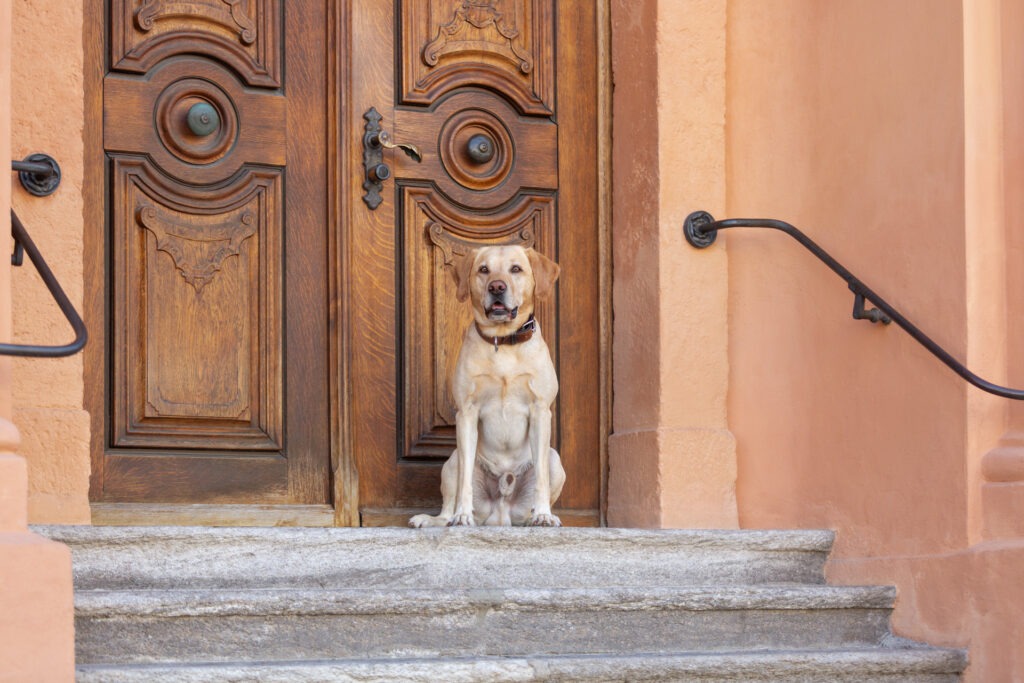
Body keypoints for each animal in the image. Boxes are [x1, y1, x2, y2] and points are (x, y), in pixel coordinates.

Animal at [409, 245, 569, 528]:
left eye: (516, 269)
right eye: (484, 269)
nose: (496, 286)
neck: (502, 342)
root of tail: (501, 513)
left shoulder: (540, 411)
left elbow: (541, 479)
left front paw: (542, 514)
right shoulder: (466, 413)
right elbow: (464, 485)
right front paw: (462, 515)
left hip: (554, 459)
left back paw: (539, 516)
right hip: (451, 462)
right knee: (450, 501)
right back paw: (435, 519)